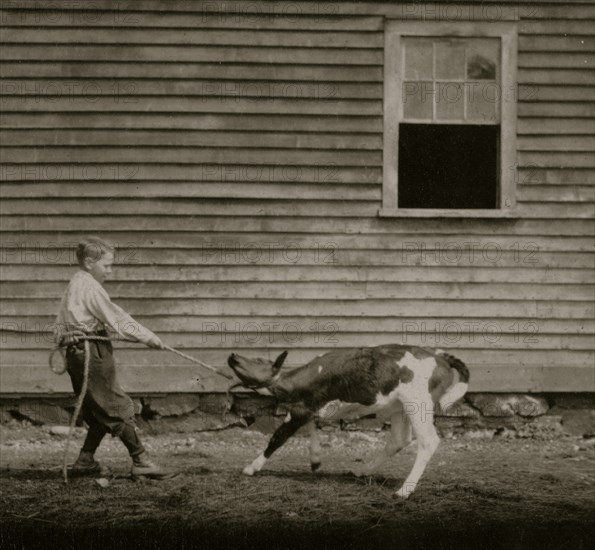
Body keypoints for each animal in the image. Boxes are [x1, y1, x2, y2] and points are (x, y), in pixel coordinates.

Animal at [228, 344, 470, 500]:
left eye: (258, 360)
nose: (232, 355)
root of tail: (439, 355)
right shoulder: (308, 408)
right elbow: (311, 426)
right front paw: (315, 459)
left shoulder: (300, 409)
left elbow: (278, 438)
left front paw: (251, 467)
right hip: (399, 407)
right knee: (399, 440)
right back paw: (362, 471)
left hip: (417, 403)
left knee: (428, 441)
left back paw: (404, 490)